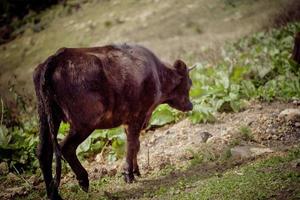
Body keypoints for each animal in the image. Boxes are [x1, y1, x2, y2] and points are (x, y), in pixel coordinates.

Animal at [32, 43, 192, 198]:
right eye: (189, 83)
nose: (191, 105)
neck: (157, 74)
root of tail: (58, 56)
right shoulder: (138, 115)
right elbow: (131, 144)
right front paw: (128, 174)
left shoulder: (130, 120)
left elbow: (136, 144)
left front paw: (135, 170)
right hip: (84, 123)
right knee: (66, 147)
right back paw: (83, 180)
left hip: (47, 115)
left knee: (43, 152)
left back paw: (54, 194)